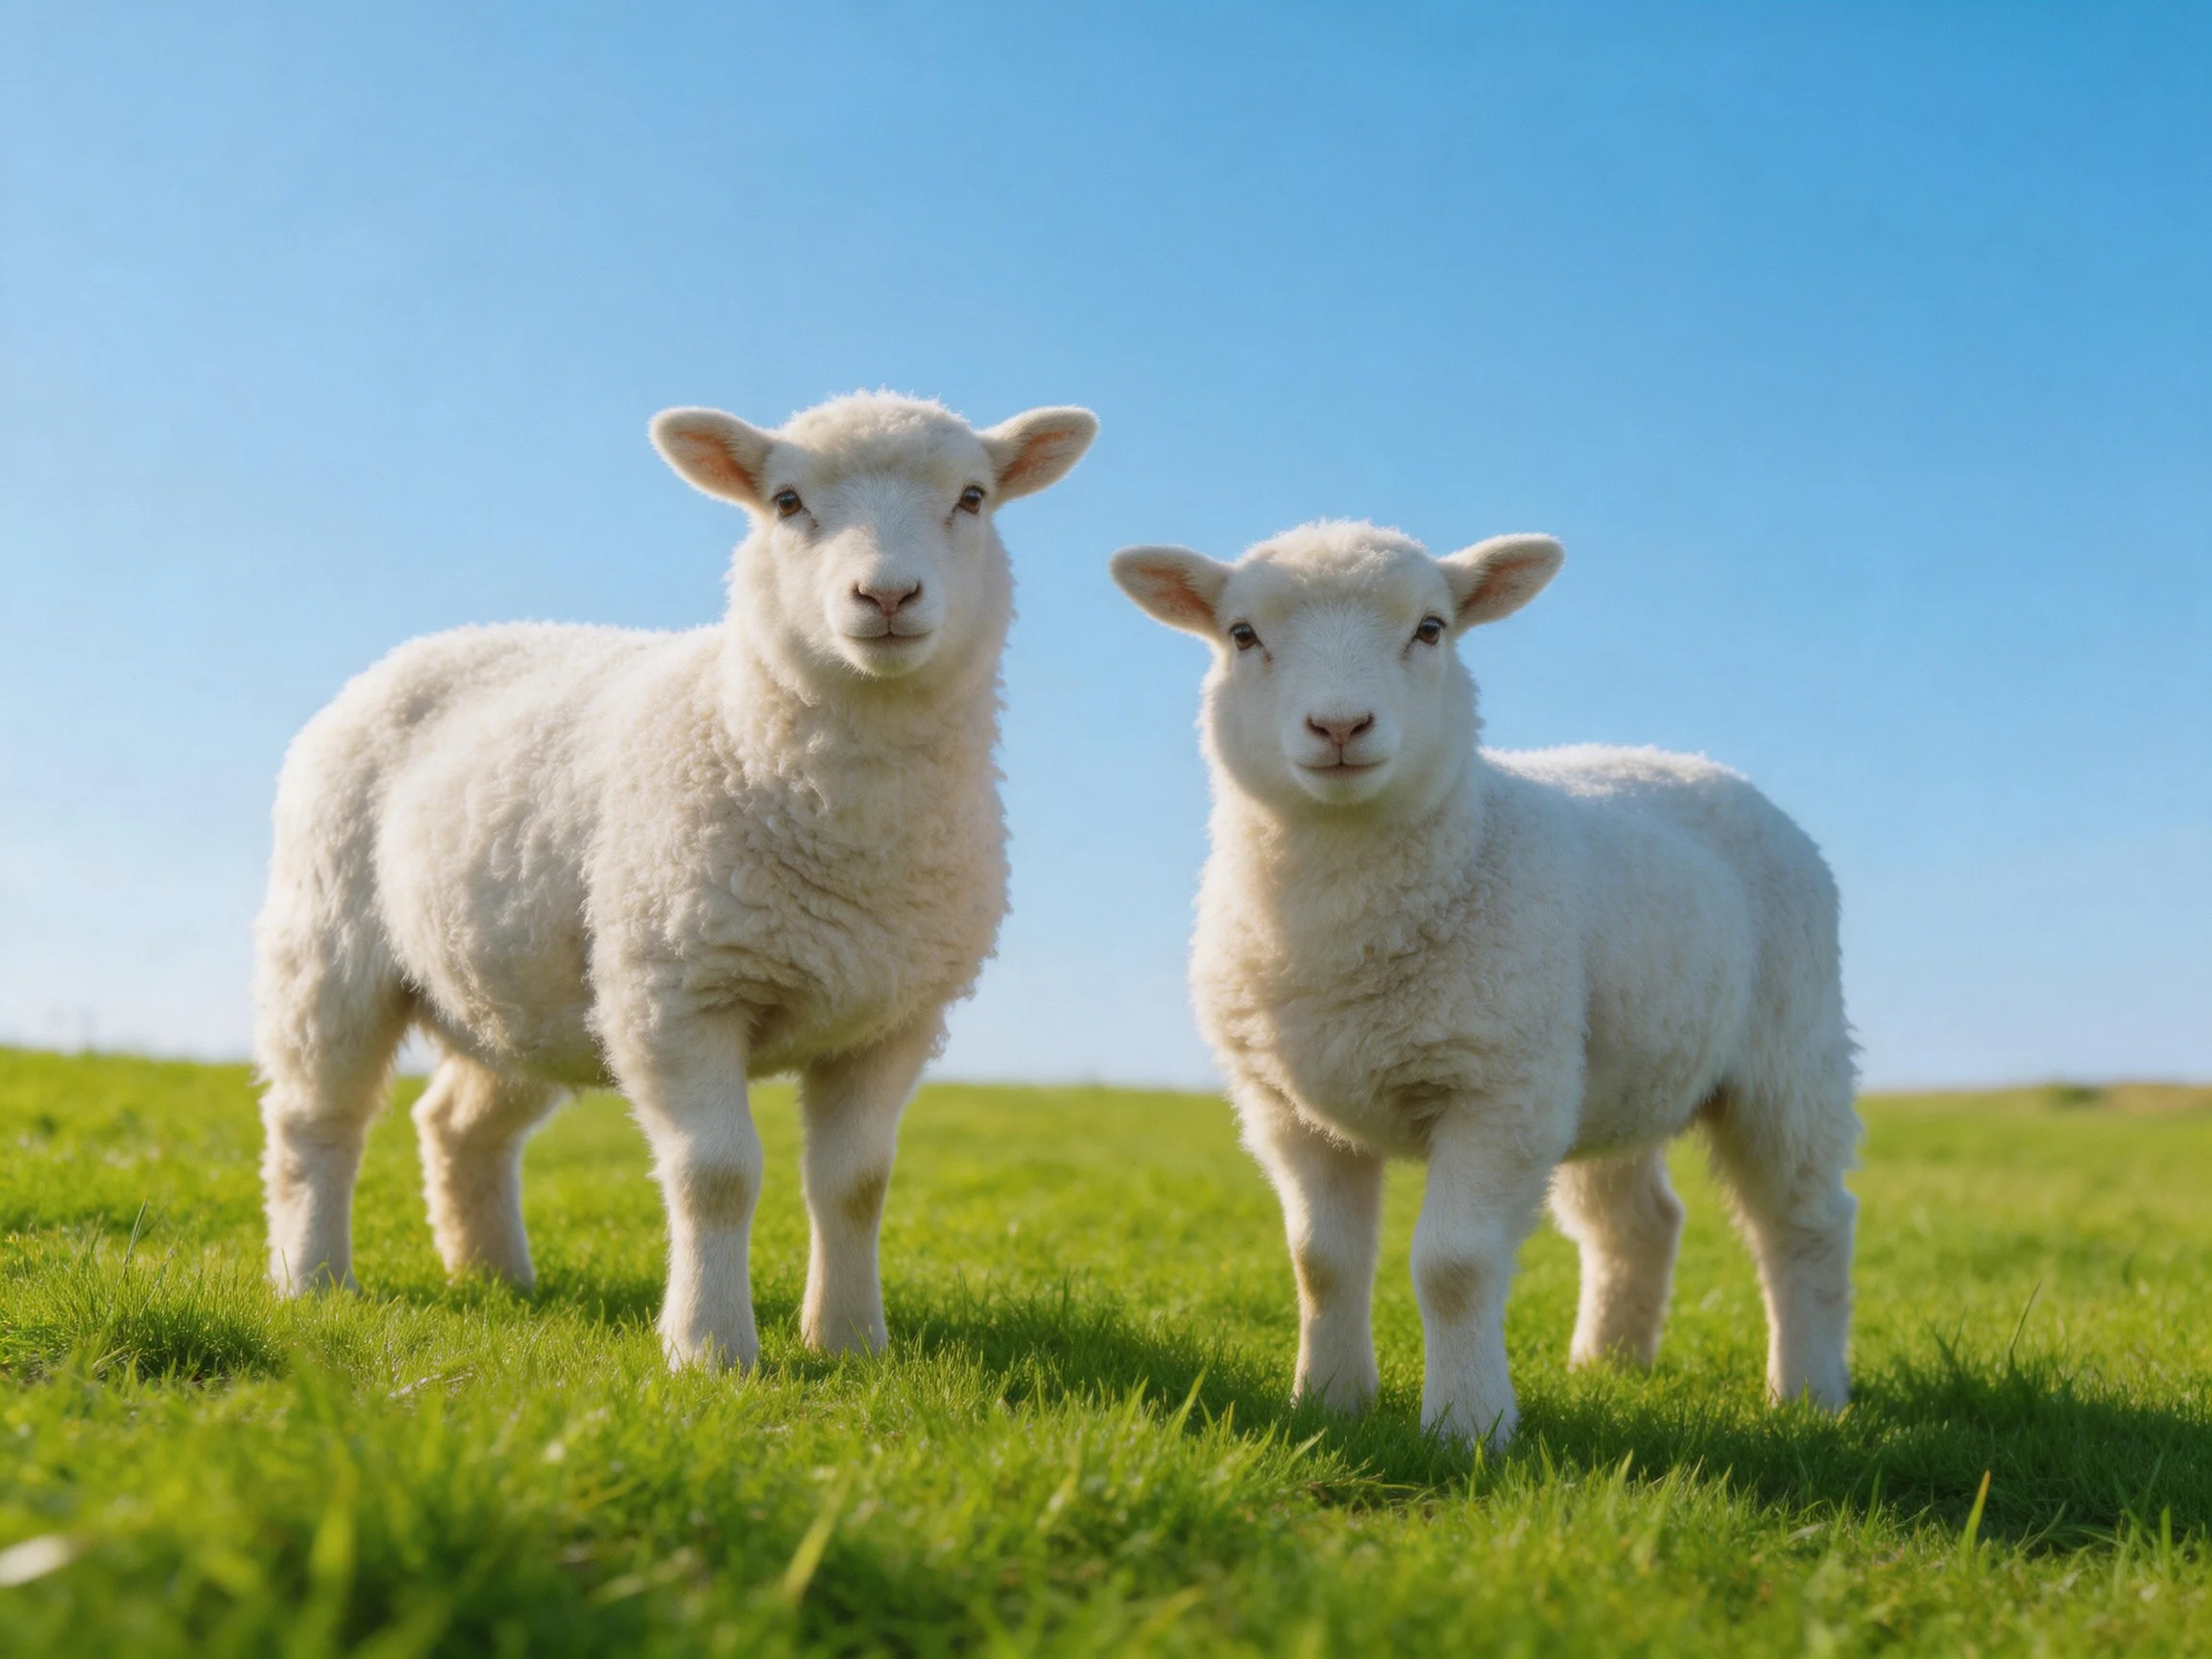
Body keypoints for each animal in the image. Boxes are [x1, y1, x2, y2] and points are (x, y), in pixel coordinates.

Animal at [255, 390, 1097, 1372]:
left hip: (524, 990)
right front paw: (710, 1349)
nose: (886, 596)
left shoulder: (895, 1020)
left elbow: (857, 1183)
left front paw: (850, 1343)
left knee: (460, 1124)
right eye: (785, 501)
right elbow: (716, 1174)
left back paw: (495, 1278)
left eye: (972, 498)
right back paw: (311, 1278)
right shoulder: (676, 992)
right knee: (316, 1121)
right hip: (329, 944)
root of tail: (424, 648)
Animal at [1111, 520, 1858, 1445]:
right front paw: (1327, 1403)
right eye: (1242, 635)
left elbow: (1454, 1265)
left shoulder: (1496, 1091)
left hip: (1790, 1053)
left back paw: (1810, 1391)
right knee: (1638, 1220)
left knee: (1805, 1219)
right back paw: (1608, 1366)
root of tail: (1690, 761)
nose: (1340, 725)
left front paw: (1467, 1429)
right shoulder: (1287, 1107)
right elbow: (1321, 1262)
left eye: (1431, 628)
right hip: (1606, 1069)